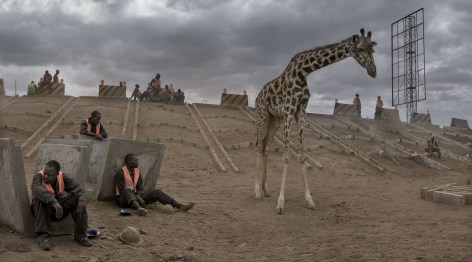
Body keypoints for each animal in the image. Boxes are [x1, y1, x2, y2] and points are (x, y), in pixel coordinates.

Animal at [254, 27, 376, 214]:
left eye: (373, 50)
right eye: (361, 49)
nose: (373, 71)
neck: (304, 71)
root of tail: (258, 95)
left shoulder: (301, 111)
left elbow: (302, 156)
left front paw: (310, 200)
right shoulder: (289, 109)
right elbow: (286, 156)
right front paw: (280, 204)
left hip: (275, 118)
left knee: (266, 147)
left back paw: (265, 189)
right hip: (263, 114)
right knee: (259, 146)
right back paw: (256, 192)